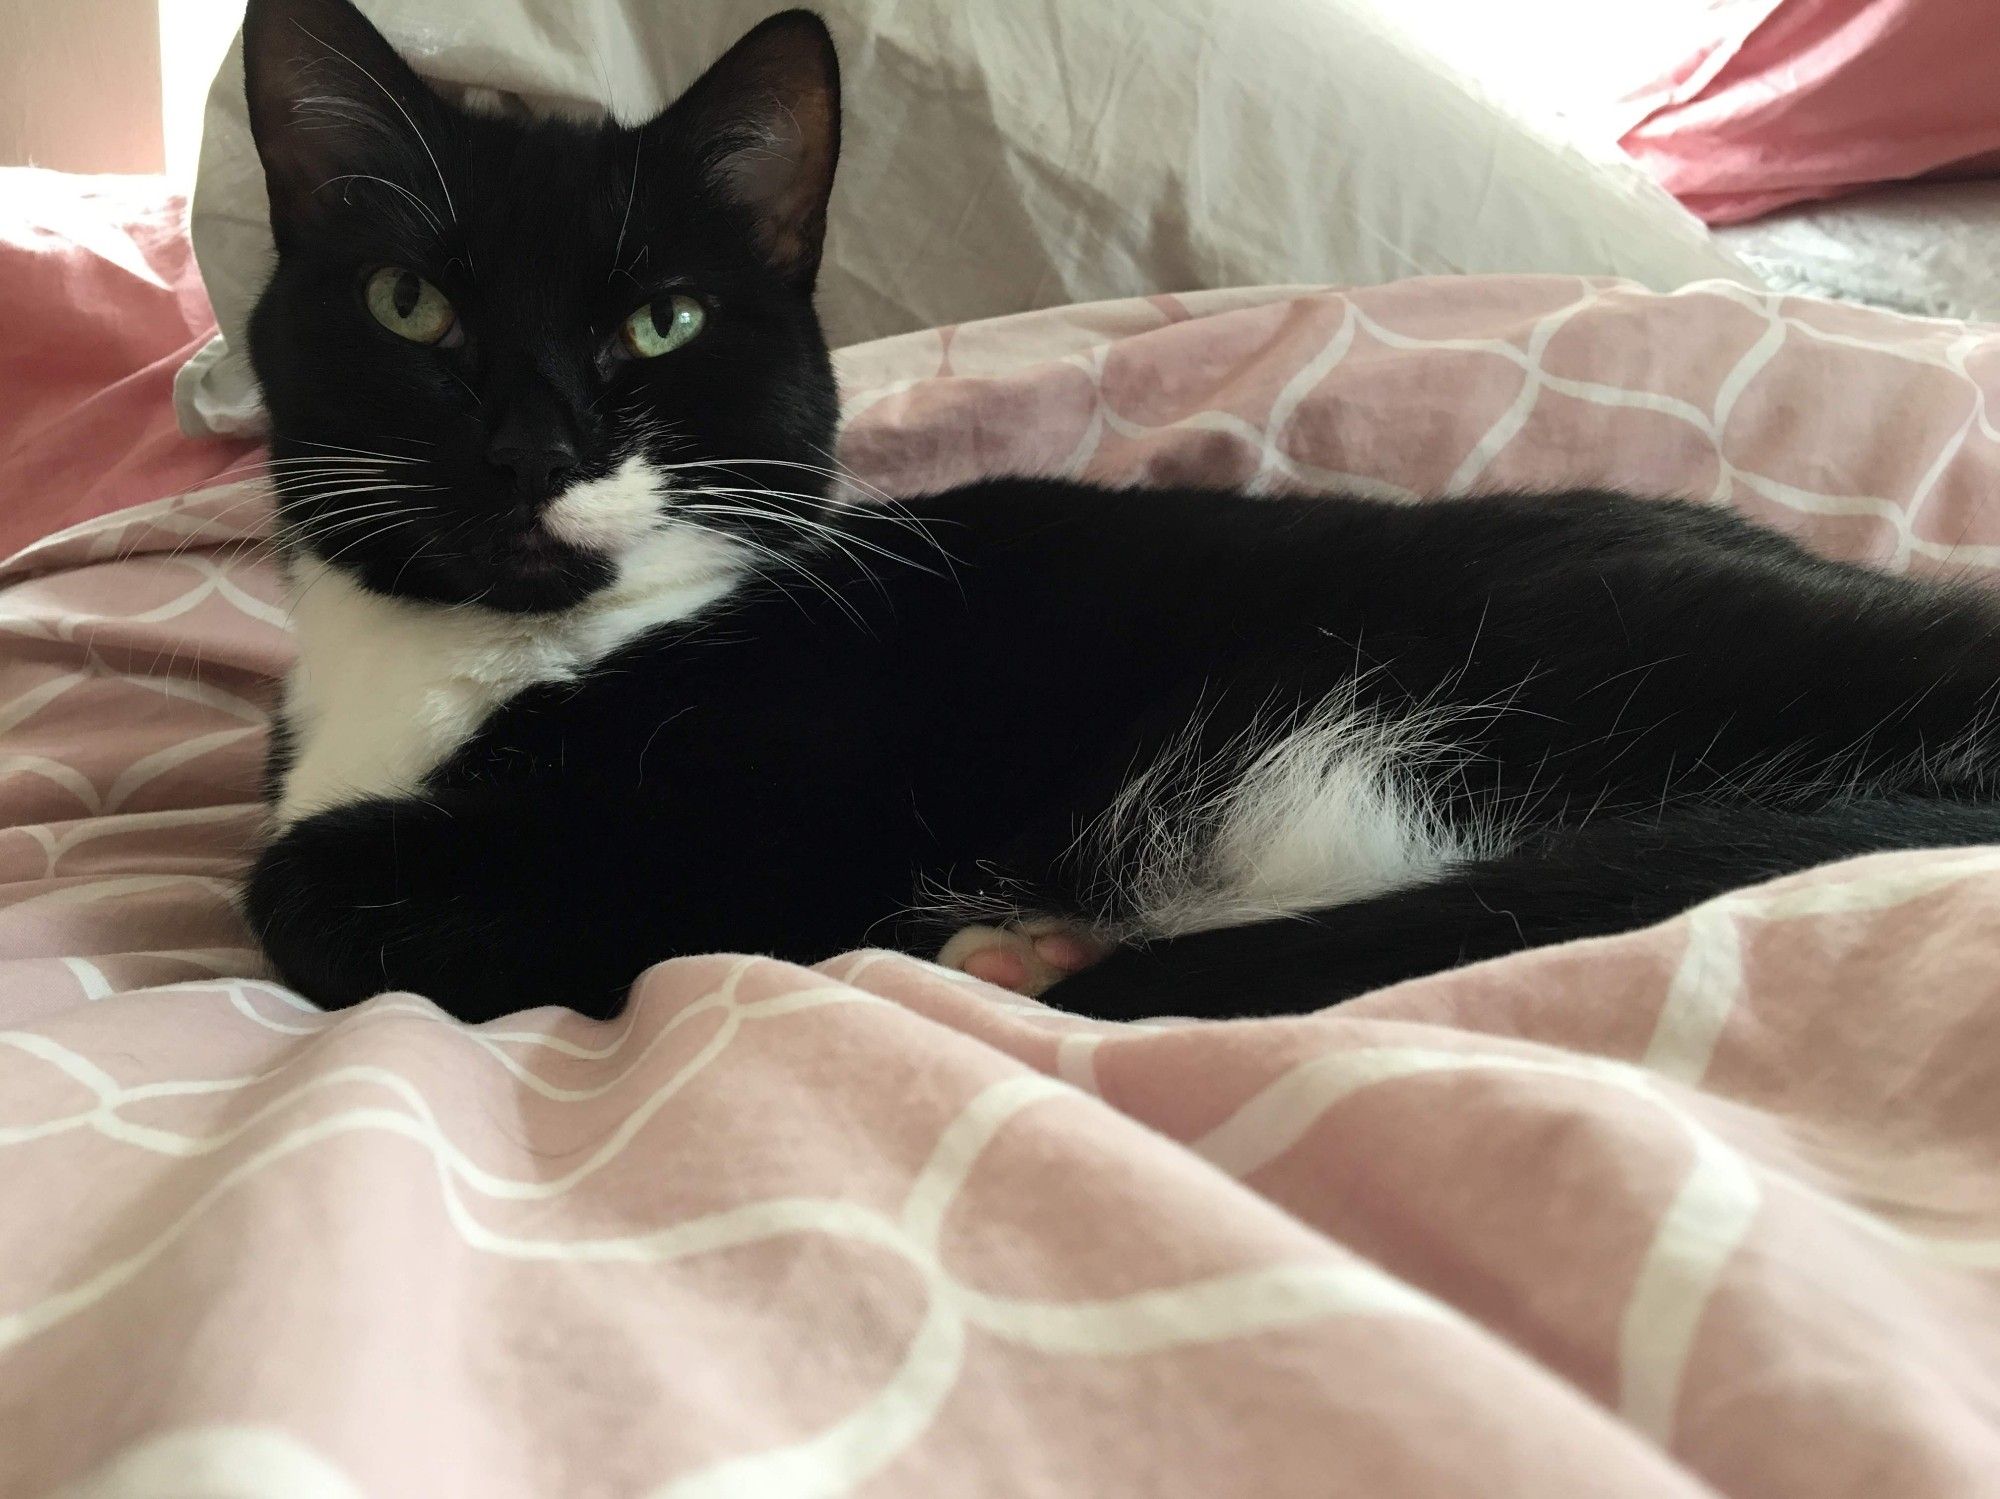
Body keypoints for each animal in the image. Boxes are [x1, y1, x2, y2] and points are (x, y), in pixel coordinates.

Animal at [246, 0, 2000, 1031]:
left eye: (662, 322)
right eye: (409, 305)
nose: (528, 450)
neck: (471, 655)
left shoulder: (777, 823)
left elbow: (298, 886)